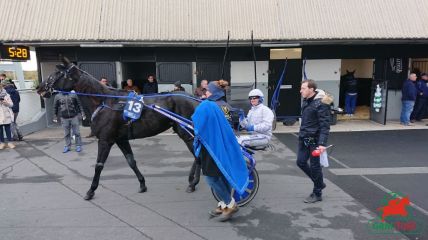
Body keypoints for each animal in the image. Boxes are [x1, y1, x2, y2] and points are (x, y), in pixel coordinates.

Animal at [37, 57, 201, 200]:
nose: (40, 88)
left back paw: (193, 182)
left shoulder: (105, 140)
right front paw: (142, 184)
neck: (104, 101)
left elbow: (99, 165)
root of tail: (197, 100)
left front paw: (91, 191)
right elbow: (131, 161)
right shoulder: (120, 139)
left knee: (198, 155)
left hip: (186, 133)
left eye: (57, 72)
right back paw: (192, 180)